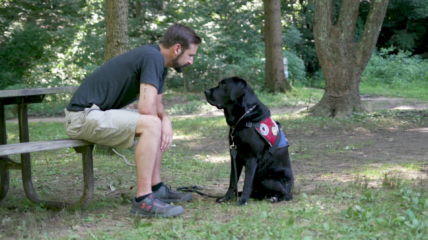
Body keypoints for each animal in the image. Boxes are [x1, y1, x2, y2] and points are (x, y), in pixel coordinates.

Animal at [205, 76, 294, 204]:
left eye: (223, 85)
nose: (205, 91)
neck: (242, 120)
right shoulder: (235, 156)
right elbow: (232, 181)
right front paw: (226, 198)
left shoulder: (251, 157)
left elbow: (247, 182)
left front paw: (242, 201)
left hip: (267, 180)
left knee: (286, 195)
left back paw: (273, 198)